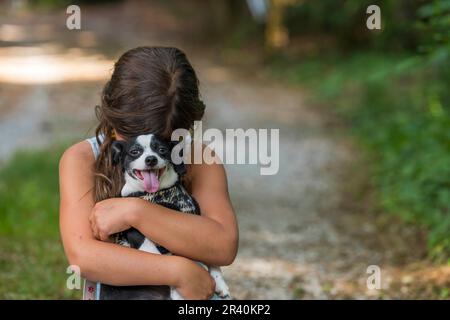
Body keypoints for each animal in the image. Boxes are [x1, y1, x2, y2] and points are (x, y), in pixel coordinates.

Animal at [100, 132, 230, 300]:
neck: (160, 195)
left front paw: (220, 282)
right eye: (135, 151)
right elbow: (164, 258)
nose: (151, 159)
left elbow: (210, 259)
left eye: (162, 149)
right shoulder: (137, 234)